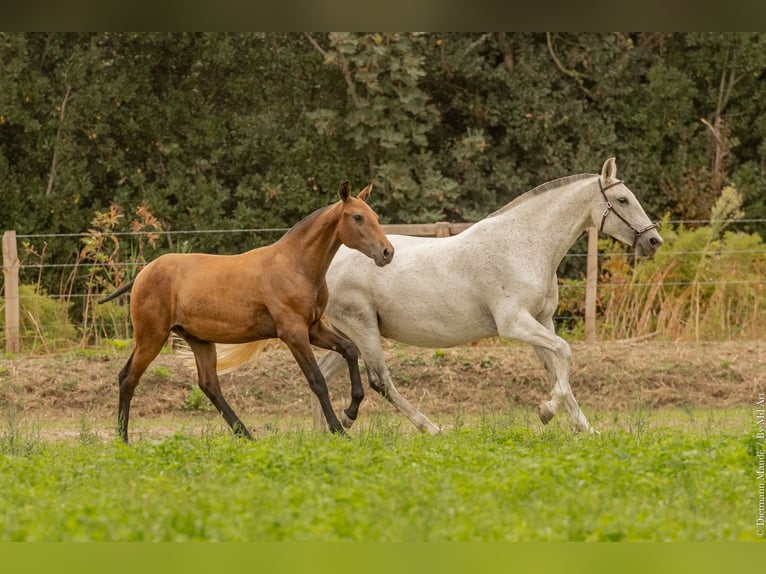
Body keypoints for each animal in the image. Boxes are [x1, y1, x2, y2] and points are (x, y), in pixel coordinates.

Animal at [219, 159, 664, 436]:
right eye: (622, 199)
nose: (654, 241)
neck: (524, 245)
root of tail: (325, 263)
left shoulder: (541, 322)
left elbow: (558, 367)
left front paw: (585, 428)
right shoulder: (515, 324)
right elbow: (566, 354)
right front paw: (545, 412)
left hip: (348, 331)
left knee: (327, 376)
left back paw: (331, 431)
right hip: (364, 328)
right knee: (380, 380)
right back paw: (430, 428)